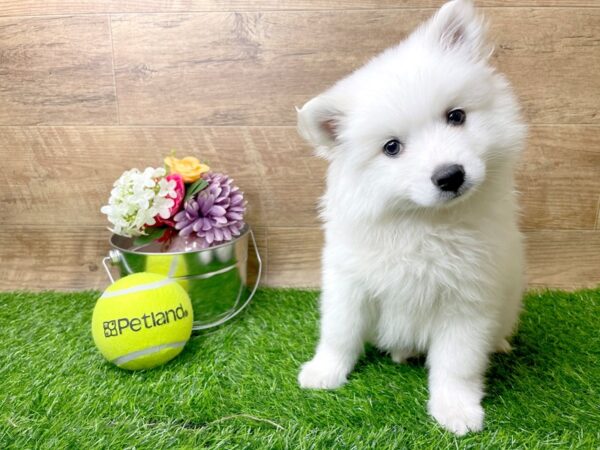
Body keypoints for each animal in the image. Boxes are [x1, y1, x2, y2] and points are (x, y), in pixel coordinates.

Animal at [296, 0, 524, 436]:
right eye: (391, 147)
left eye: (456, 116)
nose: (450, 175)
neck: (422, 223)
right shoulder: (349, 283)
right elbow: (340, 332)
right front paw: (324, 372)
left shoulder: (467, 300)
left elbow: (456, 364)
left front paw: (455, 409)